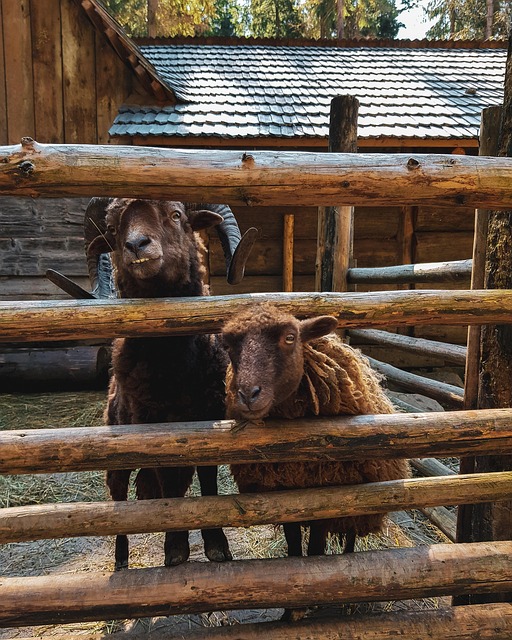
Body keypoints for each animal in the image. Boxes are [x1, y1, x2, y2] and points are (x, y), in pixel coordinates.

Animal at [85, 198, 255, 569]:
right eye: (113, 229)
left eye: (176, 215)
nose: (136, 245)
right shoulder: (154, 426)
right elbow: (168, 483)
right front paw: (175, 547)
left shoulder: (209, 417)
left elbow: (207, 479)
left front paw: (216, 545)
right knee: (119, 498)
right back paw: (121, 561)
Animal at [222, 303, 410, 616]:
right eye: (227, 345)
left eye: (290, 337)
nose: (247, 394)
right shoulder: (283, 498)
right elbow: (294, 547)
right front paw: (291, 610)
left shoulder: (327, 499)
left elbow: (316, 549)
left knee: (350, 535)